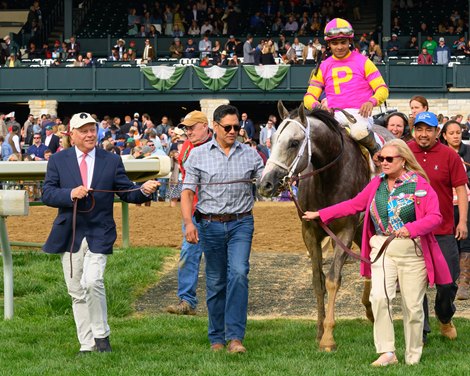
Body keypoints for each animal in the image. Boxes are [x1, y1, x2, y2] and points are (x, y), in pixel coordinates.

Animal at [258, 101, 394, 352]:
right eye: (273, 140)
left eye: (294, 142)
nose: (266, 184)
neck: (330, 177)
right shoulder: (310, 232)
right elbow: (317, 281)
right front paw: (319, 330)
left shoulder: (344, 231)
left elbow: (332, 280)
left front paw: (328, 337)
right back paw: (369, 308)